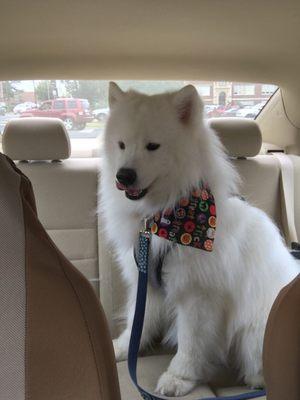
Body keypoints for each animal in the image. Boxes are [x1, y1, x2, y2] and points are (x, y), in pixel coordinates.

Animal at [99, 82, 298, 396]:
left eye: (152, 146)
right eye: (121, 145)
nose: (124, 176)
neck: (163, 217)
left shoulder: (199, 295)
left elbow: (191, 343)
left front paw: (178, 377)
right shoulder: (146, 282)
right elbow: (137, 319)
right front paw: (123, 347)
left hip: (257, 327)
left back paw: (257, 379)